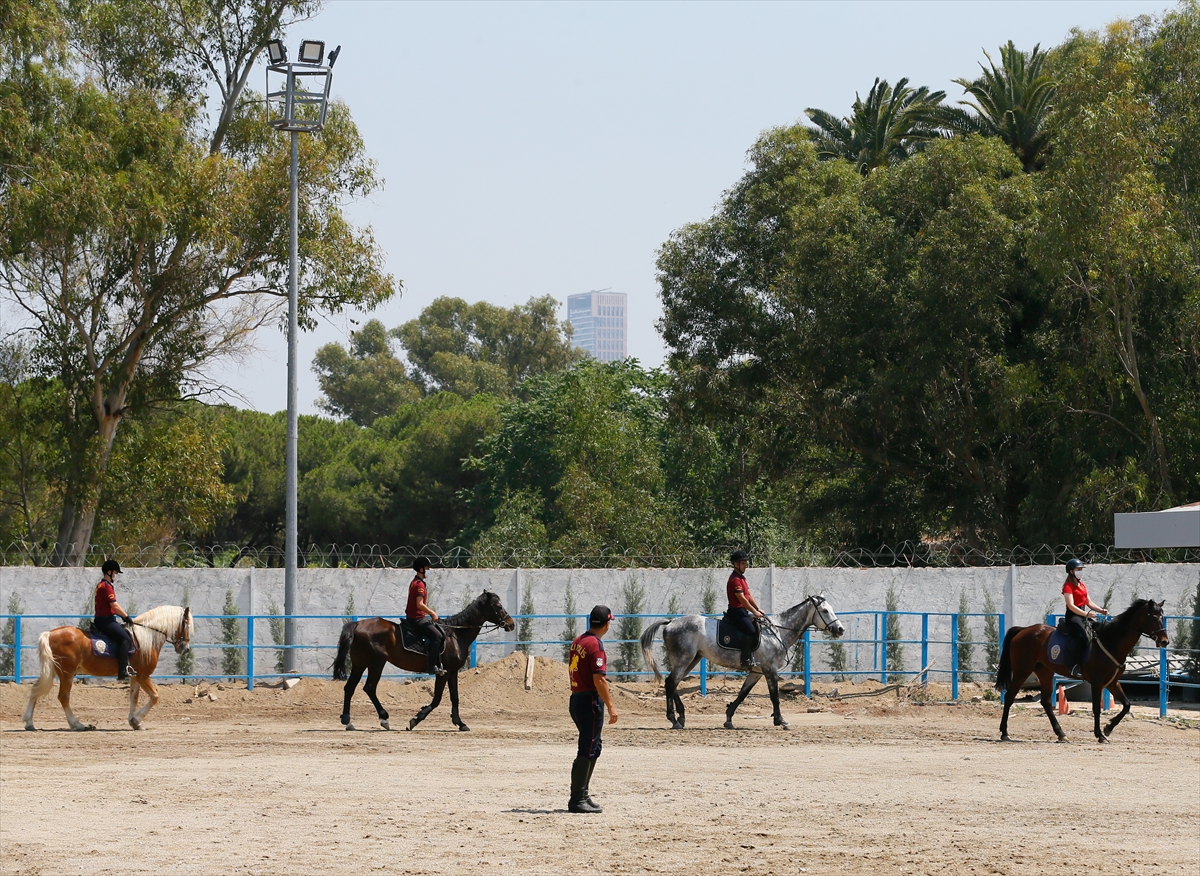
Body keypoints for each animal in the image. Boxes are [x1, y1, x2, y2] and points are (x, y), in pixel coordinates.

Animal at [21, 600, 192, 729]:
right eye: (187, 625)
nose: (185, 648)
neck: (147, 637)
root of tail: (51, 633)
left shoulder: (135, 676)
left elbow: (134, 697)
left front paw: (134, 722)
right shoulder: (143, 676)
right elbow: (155, 696)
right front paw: (137, 720)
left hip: (54, 671)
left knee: (35, 689)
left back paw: (29, 723)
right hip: (66, 674)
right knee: (63, 697)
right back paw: (77, 724)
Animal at [331, 588, 513, 729]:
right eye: (498, 606)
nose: (511, 623)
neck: (455, 634)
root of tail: (358, 624)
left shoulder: (453, 672)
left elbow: (455, 697)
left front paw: (460, 723)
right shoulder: (443, 672)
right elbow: (437, 699)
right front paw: (415, 720)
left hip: (359, 663)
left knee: (350, 688)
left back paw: (347, 721)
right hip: (376, 663)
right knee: (369, 688)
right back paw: (383, 718)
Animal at [643, 592, 849, 729]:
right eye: (825, 610)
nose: (840, 629)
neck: (777, 631)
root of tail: (670, 623)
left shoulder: (756, 672)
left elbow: (742, 694)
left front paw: (728, 719)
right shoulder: (769, 669)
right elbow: (774, 696)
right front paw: (780, 721)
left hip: (692, 659)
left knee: (672, 683)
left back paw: (680, 717)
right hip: (684, 659)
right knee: (671, 683)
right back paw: (674, 719)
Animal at [993, 592, 1171, 744]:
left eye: (1162, 616)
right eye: (1153, 616)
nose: (1164, 641)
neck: (1111, 641)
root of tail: (1023, 630)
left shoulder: (1112, 682)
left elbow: (1127, 705)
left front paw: (1108, 728)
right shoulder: (1097, 683)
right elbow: (1096, 708)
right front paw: (1100, 735)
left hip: (1045, 672)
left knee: (1046, 702)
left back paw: (1061, 734)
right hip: (1022, 670)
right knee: (1010, 696)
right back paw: (1004, 733)